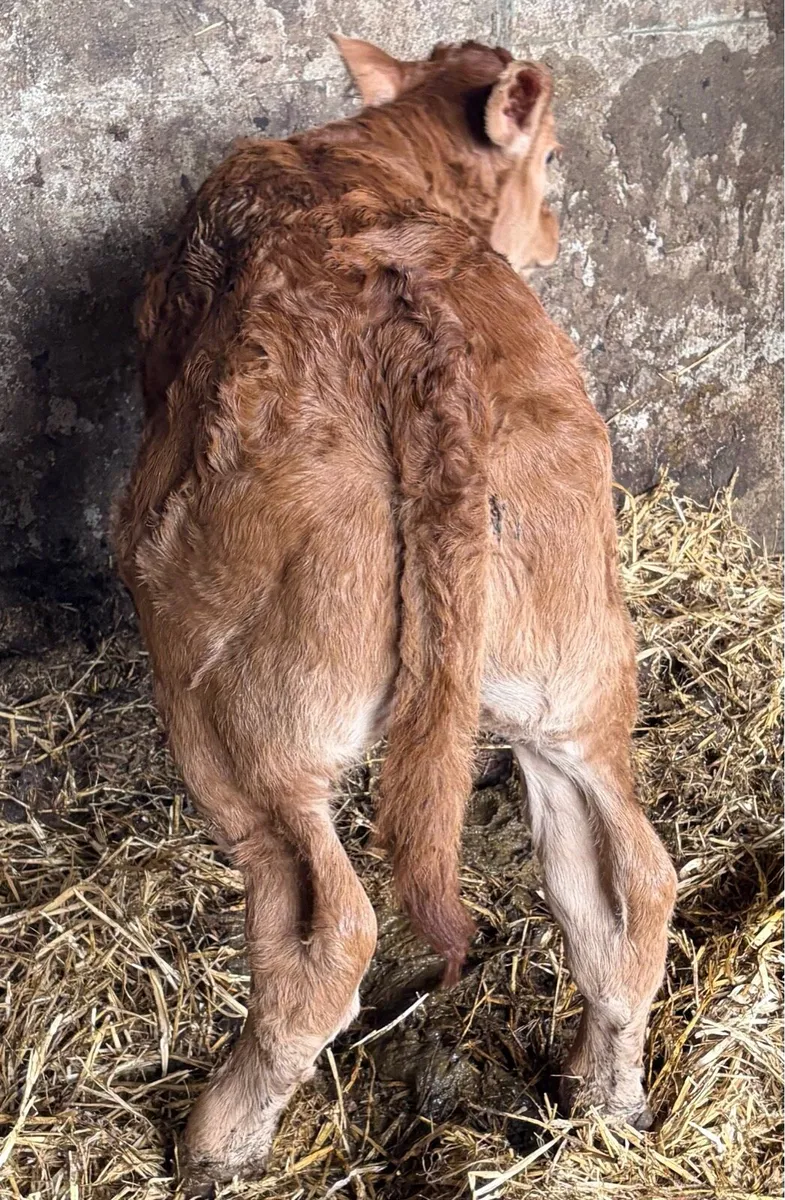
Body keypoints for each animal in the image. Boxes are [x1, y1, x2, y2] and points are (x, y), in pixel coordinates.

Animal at [113, 37, 677, 1185]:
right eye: (552, 156)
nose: (553, 237)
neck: (366, 160)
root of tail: (419, 350)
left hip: (241, 716)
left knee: (328, 938)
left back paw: (215, 1146)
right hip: (575, 680)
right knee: (627, 889)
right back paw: (605, 1102)